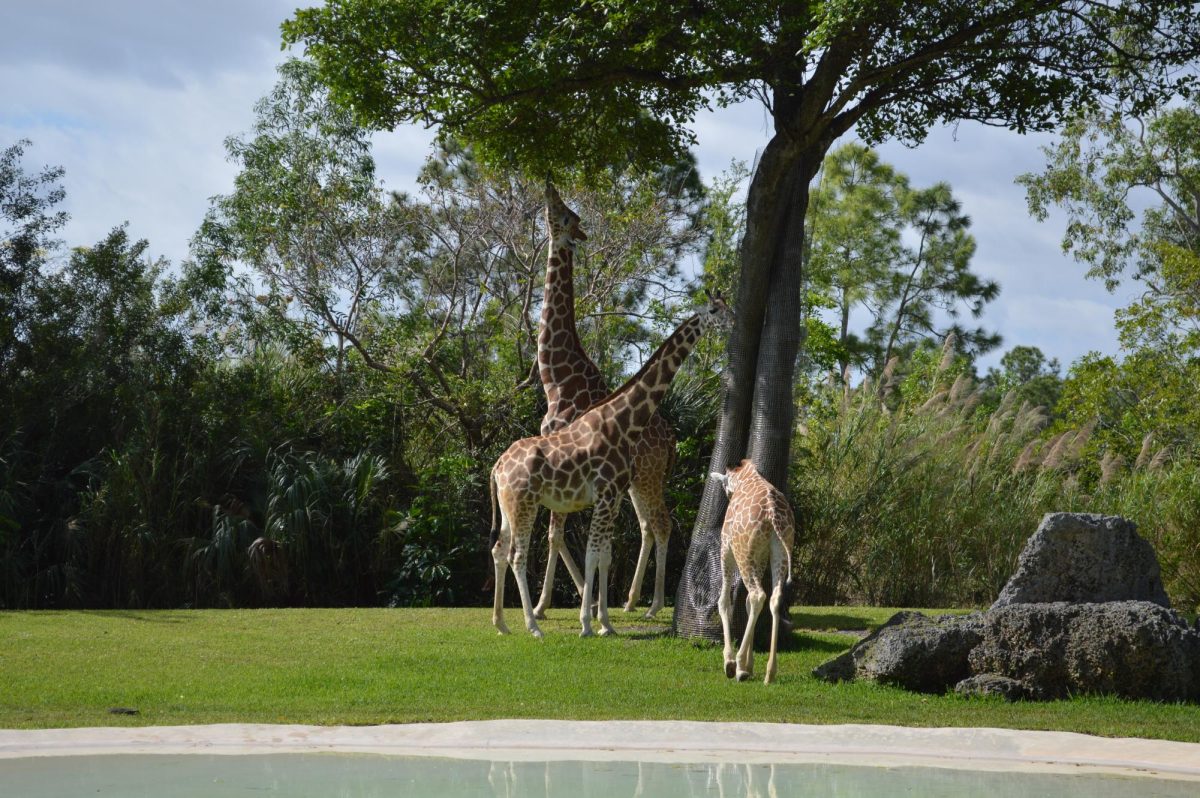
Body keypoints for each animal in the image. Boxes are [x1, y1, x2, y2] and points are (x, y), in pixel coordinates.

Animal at [487, 292, 729, 633]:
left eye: (727, 307)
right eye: (713, 310)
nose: (732, 323)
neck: (623, 422)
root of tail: (497, 467)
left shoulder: (612, 496)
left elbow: (604, 555)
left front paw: (604, 622)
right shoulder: (604, 494)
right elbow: (591, 554)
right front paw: (588, 623)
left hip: (512, 507)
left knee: (499, 550)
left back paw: (502, 623)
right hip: (526, 505)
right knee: (517, 556)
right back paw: (533, 625)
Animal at [532, 180, 676, 614]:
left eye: (565, 214)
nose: (549, 183)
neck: (555, 381)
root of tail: (672, 441)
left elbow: (554, 533)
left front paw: (545, 604)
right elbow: (559, 532)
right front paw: (586, 595)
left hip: (646, 476)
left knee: (662, 524)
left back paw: (653, 604)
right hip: (636, 481)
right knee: (648, 525)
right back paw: (629, 601)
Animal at [710, 460, 796, 686]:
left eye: (723, 485)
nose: (728, 495)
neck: (743, 477)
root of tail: (773, 514)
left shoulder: (726, 549)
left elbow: (724, 602)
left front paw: (732, 663)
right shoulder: (760, 557)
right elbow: (747, 603)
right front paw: (749, 665)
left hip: (742, 553)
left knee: (758, 595)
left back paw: (738, 664)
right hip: (779, 552)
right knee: (773, 598)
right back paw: (769, 672)